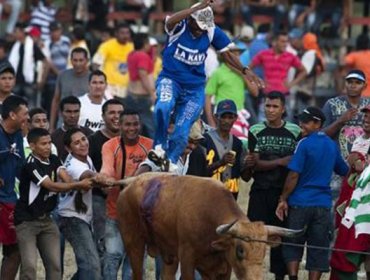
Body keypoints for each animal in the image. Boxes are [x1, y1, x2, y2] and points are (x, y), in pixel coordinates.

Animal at [117, 173, 302, 280]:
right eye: (240, 250)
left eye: (264, 251)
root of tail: (133, 182)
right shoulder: (187, 259)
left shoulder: (223, 267)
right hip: (134, 243)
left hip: (169, 254)